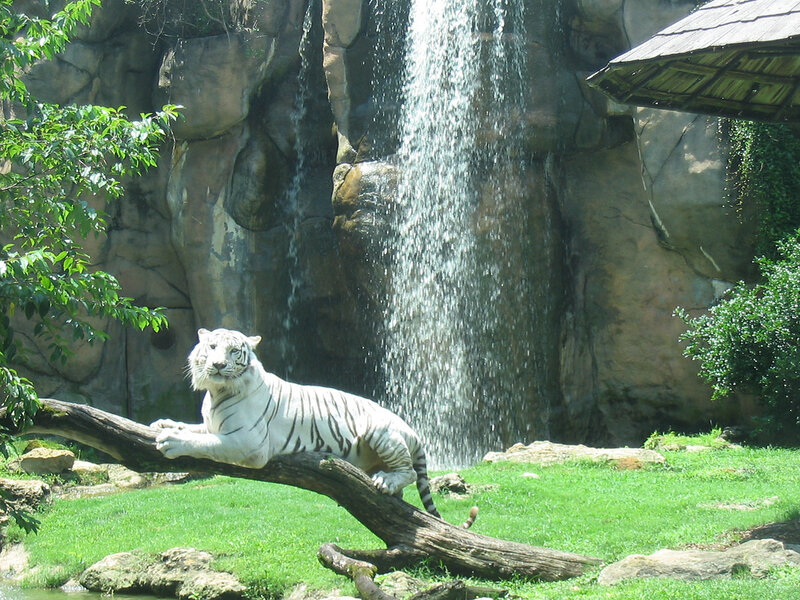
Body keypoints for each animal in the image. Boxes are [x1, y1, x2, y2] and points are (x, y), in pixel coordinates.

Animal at [151, 327, 476, 528]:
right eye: (212, 347)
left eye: (233, 351)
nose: (218, 365)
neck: (217, 392)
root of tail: (414, 431)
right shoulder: (215, 425)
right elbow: (196, 429)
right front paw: (164, 423)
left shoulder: (248, 443)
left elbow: (206, 443)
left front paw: (171, 440)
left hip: (380, 431)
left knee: (407, 471)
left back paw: (386, 481)